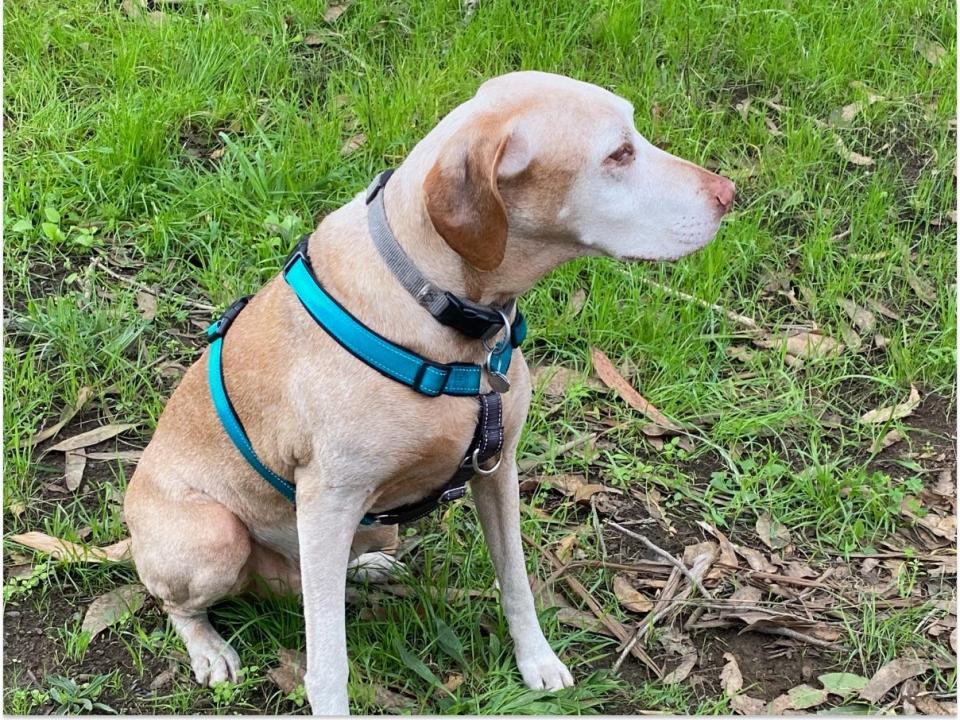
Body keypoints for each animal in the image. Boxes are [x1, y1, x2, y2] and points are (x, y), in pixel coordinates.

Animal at [122, 70, 736, 712]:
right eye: (618, 154)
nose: (729, 193)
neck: (441, 306)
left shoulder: (497, 469)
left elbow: (516, 581)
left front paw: (537, 660)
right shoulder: (327, 499)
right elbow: (329, 661)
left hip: (360, 527)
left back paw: (365, 565)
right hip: (216, 536)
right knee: (182, 604)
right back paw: (210, 648)